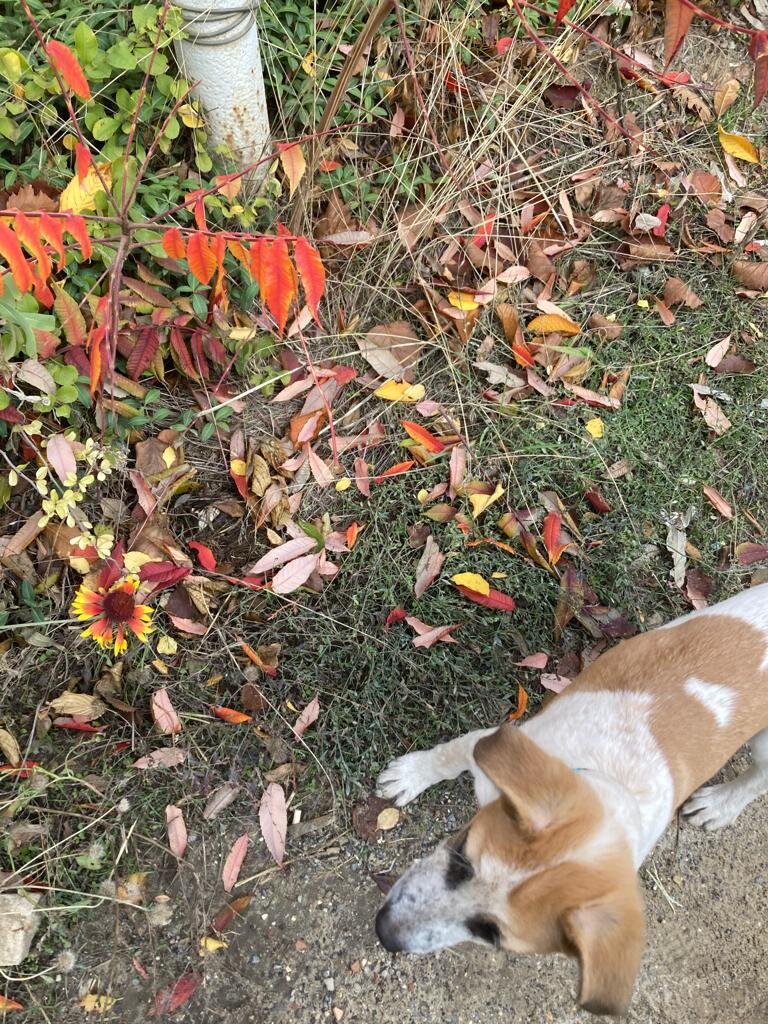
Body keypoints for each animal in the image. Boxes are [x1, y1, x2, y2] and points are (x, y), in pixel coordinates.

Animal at [375, 583, 768, 1016]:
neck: (603, 776)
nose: (384, 931)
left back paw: (720, 805)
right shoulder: (490, 747)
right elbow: (446, 755)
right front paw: (409, 776)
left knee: (759, 778)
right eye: (461, 855)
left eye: (491, 934)